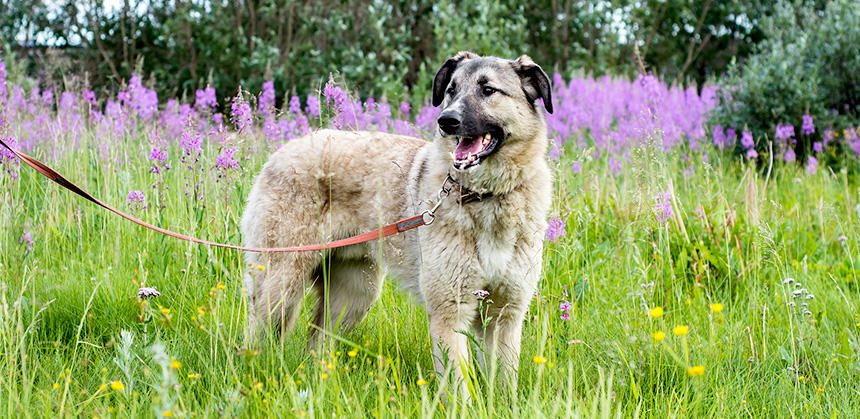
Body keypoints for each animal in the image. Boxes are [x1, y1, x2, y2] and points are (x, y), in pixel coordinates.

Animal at [240, 52, 552, 398]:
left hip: (353, 297)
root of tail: (280, 152)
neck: (486, 197)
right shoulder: (450, 313)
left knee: (317, 340)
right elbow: (459, 388)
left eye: (488, 90)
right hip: (281, 287)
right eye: (451, 90)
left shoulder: (504, 316)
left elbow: (504, 384)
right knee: (255, 341)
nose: (446, 121)